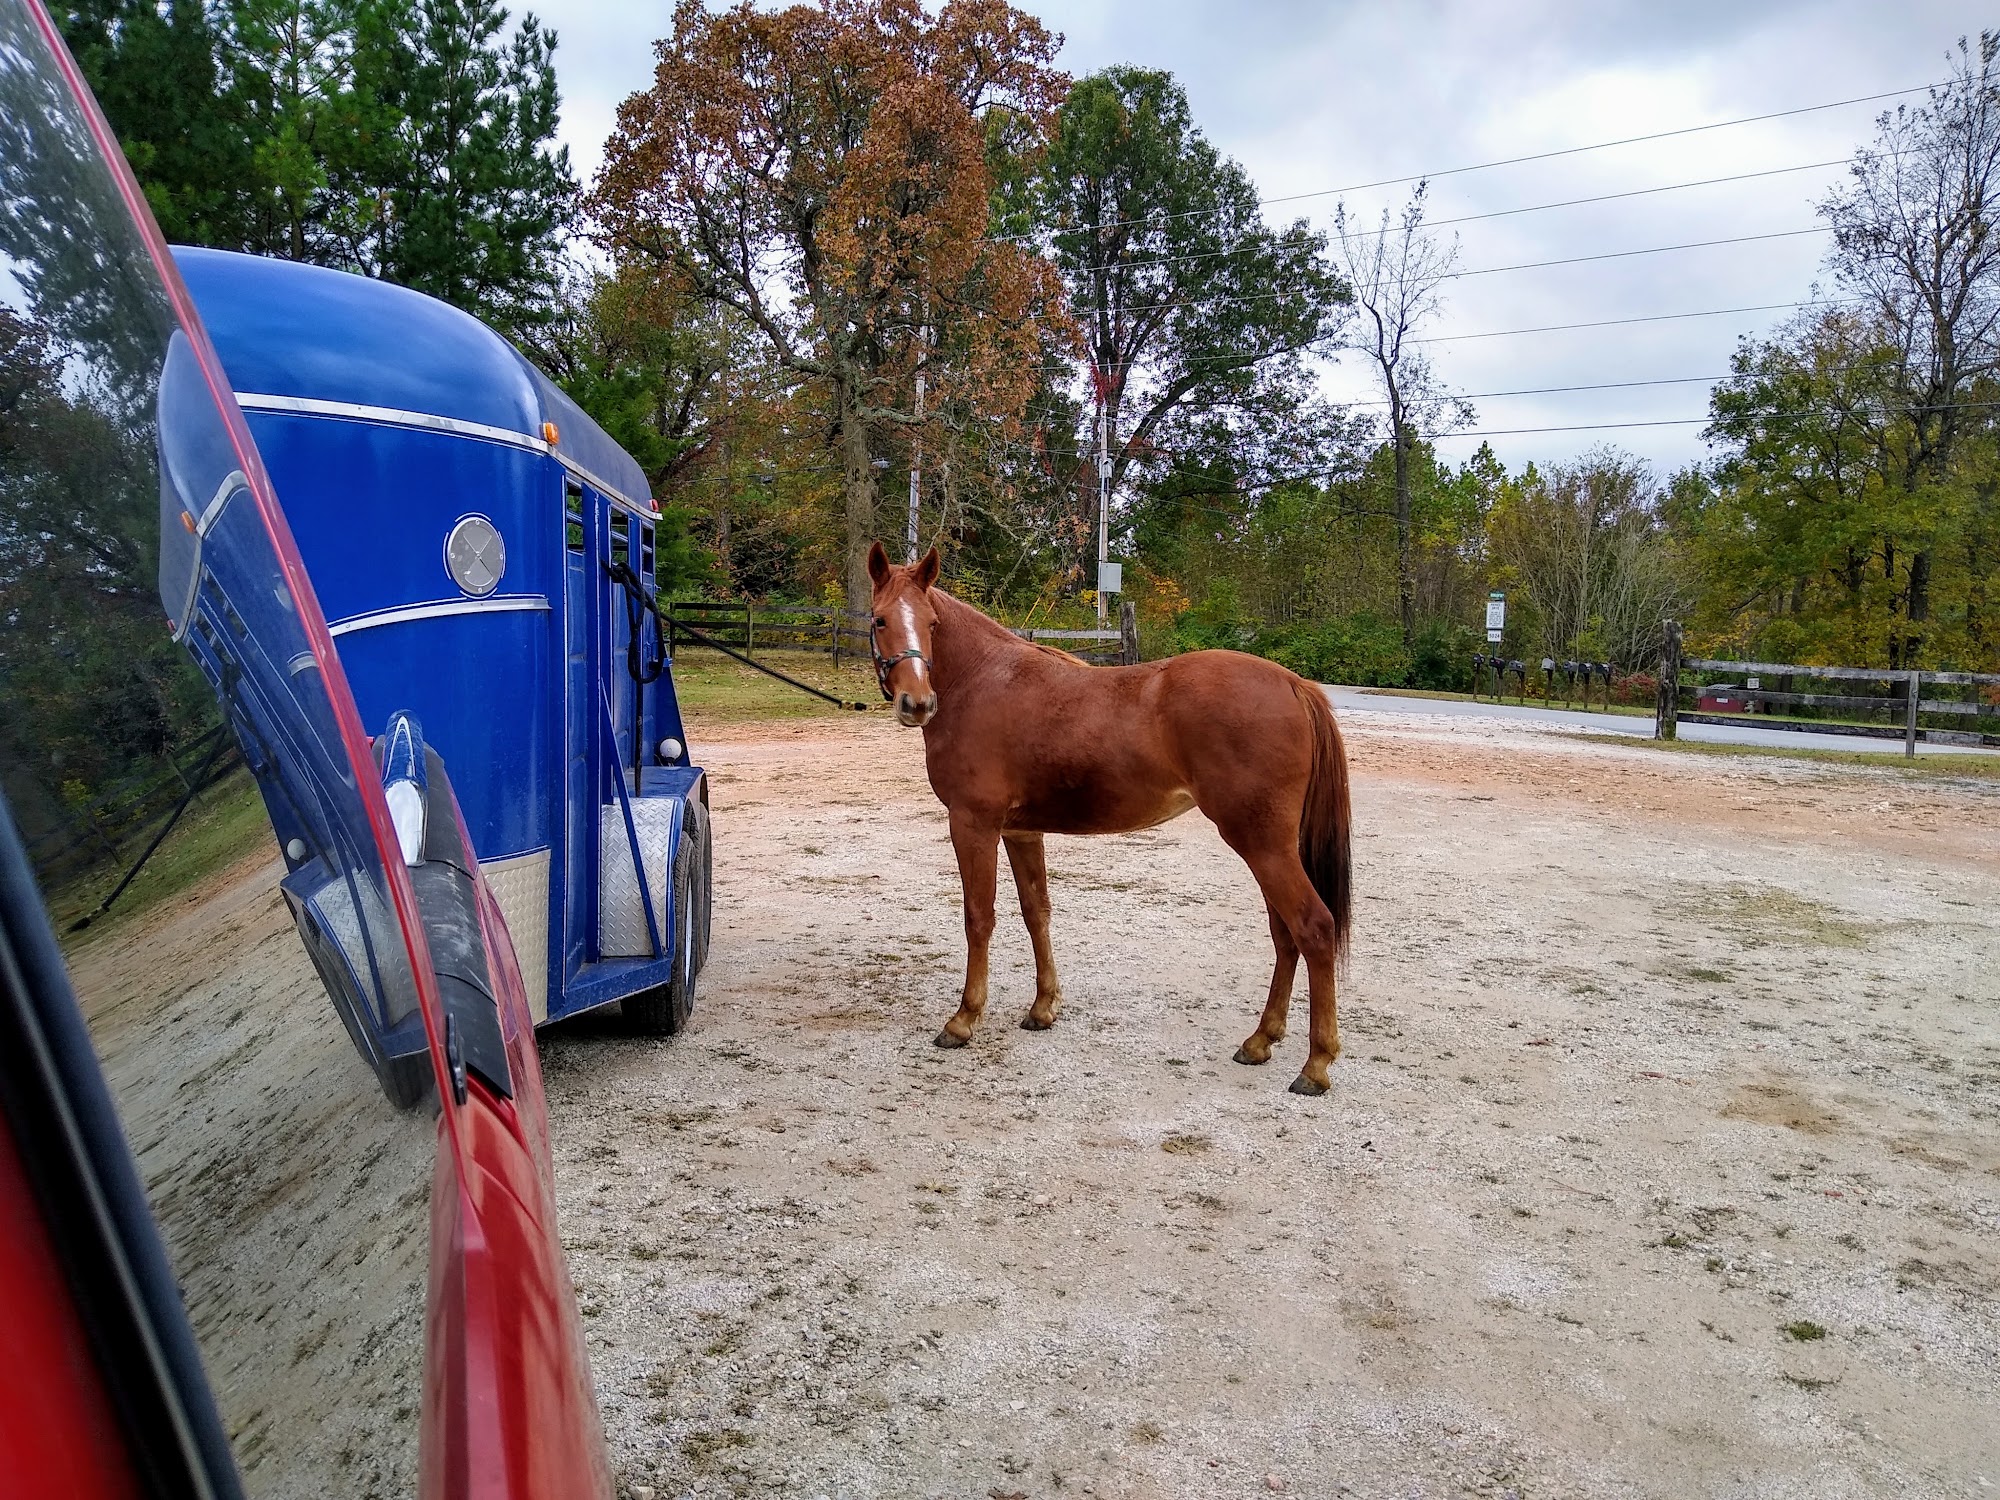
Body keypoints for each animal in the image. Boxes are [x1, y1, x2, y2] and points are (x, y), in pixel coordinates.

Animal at [868, 548, 1352, 1096]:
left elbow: (979, 918)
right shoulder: (1020, 831)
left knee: (1313, 928)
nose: (917, 703)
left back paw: (1315, 1064)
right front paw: (1043, 1008)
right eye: (881, 620)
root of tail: (1293, 683)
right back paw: (1260, 1041)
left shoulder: (974, 826)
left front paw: (963, 1020)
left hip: (1263, 844)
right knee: (1284, 933)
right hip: (1270, 846)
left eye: (931, 623)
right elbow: (1036, 912)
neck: (982, 680)